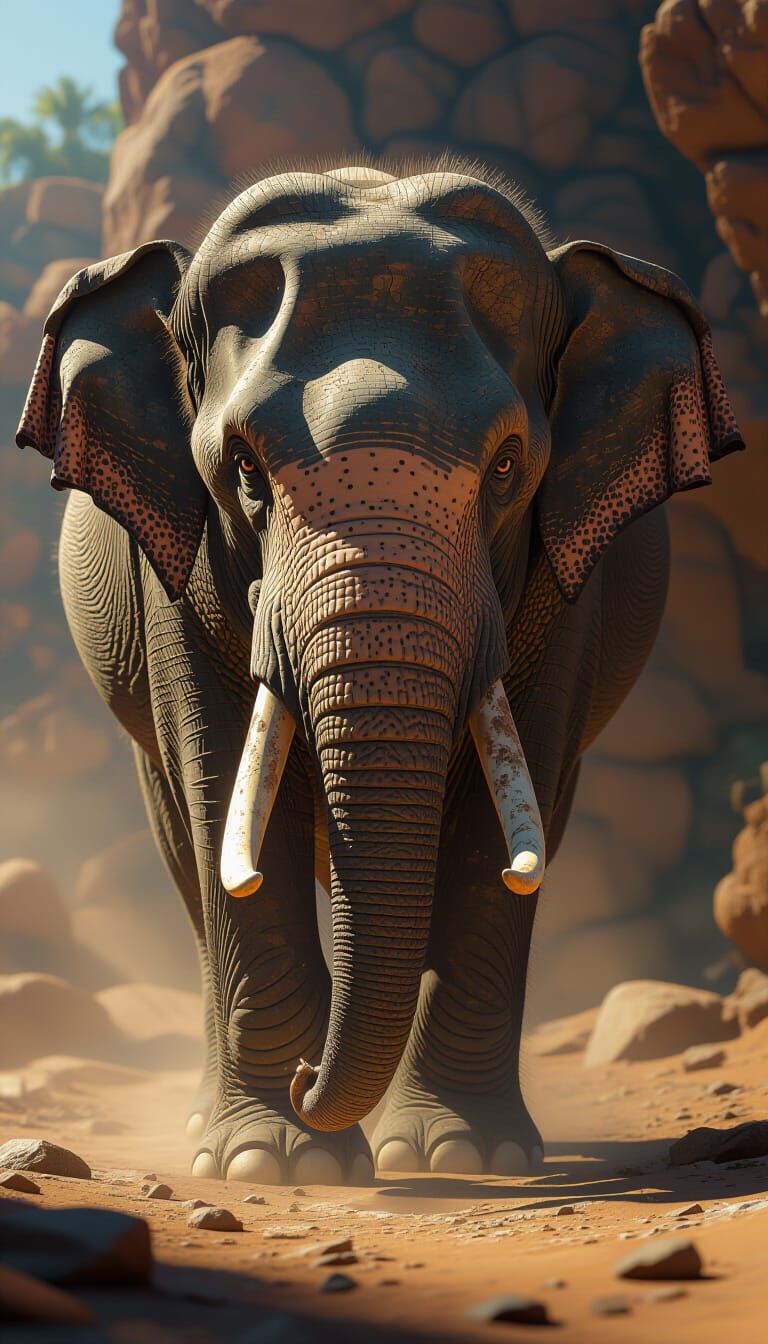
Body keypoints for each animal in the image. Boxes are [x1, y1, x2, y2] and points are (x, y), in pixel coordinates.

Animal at [16, 159, 743, 1184]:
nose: (306, 1080)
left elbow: (495, 827)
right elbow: (225, 795)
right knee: (188, 850)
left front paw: (466, 1156)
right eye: (242, 470)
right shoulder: (173, 565)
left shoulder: (568, 580)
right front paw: (277, 1165)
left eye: (508, 467)